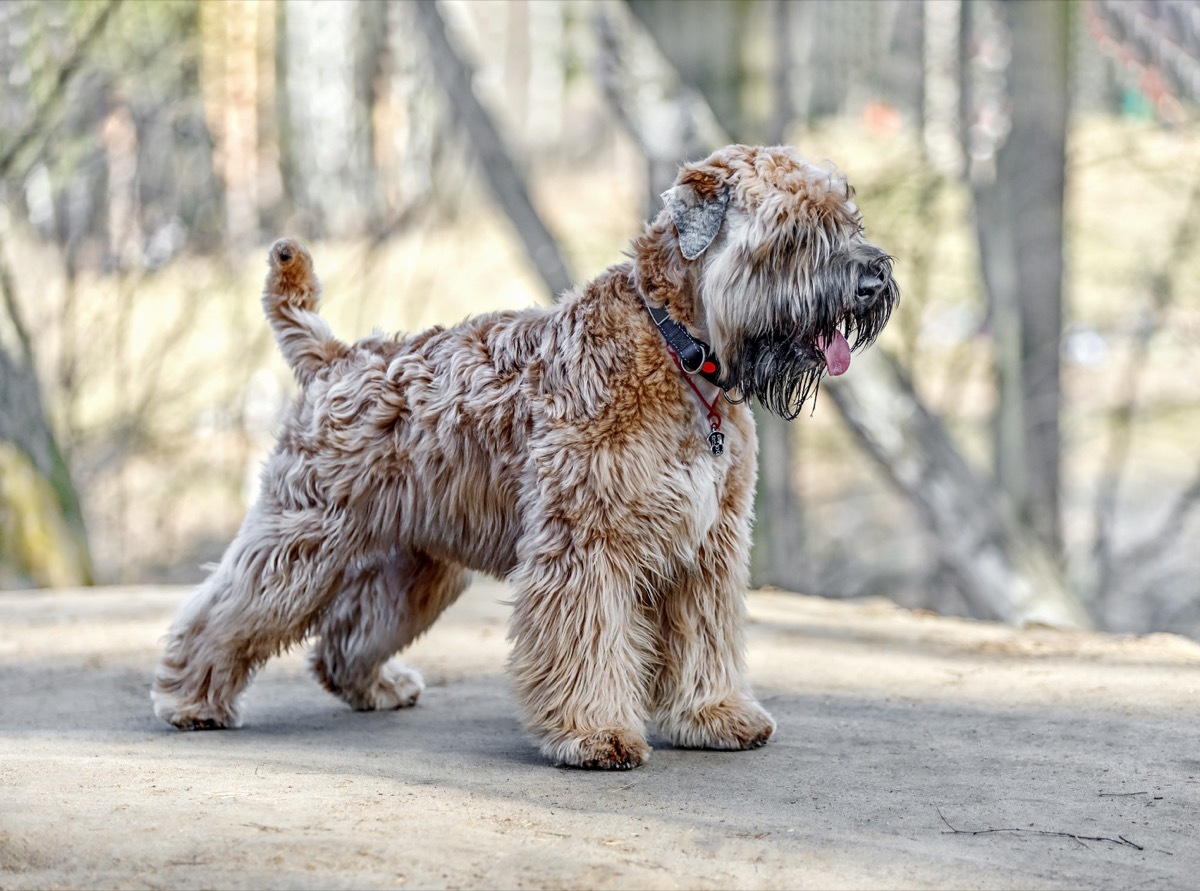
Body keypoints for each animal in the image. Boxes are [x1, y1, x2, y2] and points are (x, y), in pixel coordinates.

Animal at [152, 144, 892, 768]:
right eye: (792, 232)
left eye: (846, 217)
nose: (874, 277)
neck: (680, 353)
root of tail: (335, 356)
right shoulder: (586, 543)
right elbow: (587, 642)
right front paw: (594, 733)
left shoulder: (707, 548)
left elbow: (704, 638)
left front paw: (714, 714)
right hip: (302, 539)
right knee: (225, 611)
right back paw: (190, 698)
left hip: (415, 566)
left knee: (345, 636)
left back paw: (377, 685)